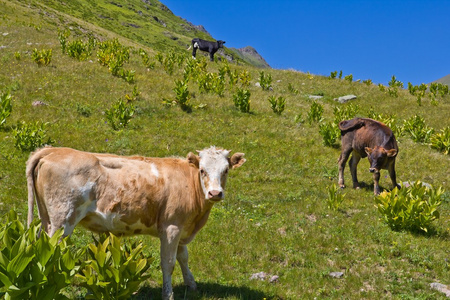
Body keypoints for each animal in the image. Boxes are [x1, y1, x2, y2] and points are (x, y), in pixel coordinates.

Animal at [26, 146, 246, 300]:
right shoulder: (171, 227)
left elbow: (183, 257)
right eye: (202, 170)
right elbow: (168, 263)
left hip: (47, 218)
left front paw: (191, 285)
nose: (215, 193)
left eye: (226, 170)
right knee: (53, 251)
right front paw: (168, 294)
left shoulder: (182, 227)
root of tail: (54, 150)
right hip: (62, 220)